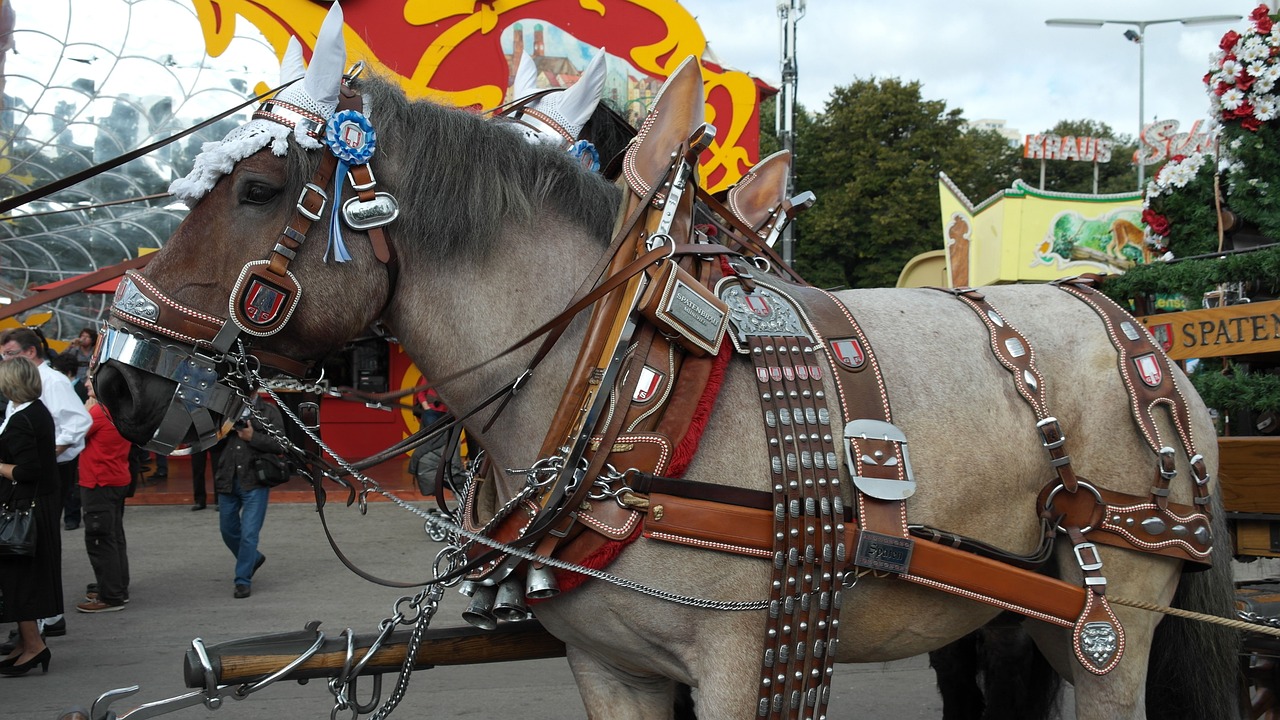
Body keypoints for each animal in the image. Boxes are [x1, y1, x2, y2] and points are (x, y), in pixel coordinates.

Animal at [94, 4, 1244, 712]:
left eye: (253, 192)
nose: (116, 374)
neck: (623, 371)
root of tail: (1141, 344)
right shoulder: (612, 670)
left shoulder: (745, 658)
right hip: (1008, 620)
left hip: (1112, 618)